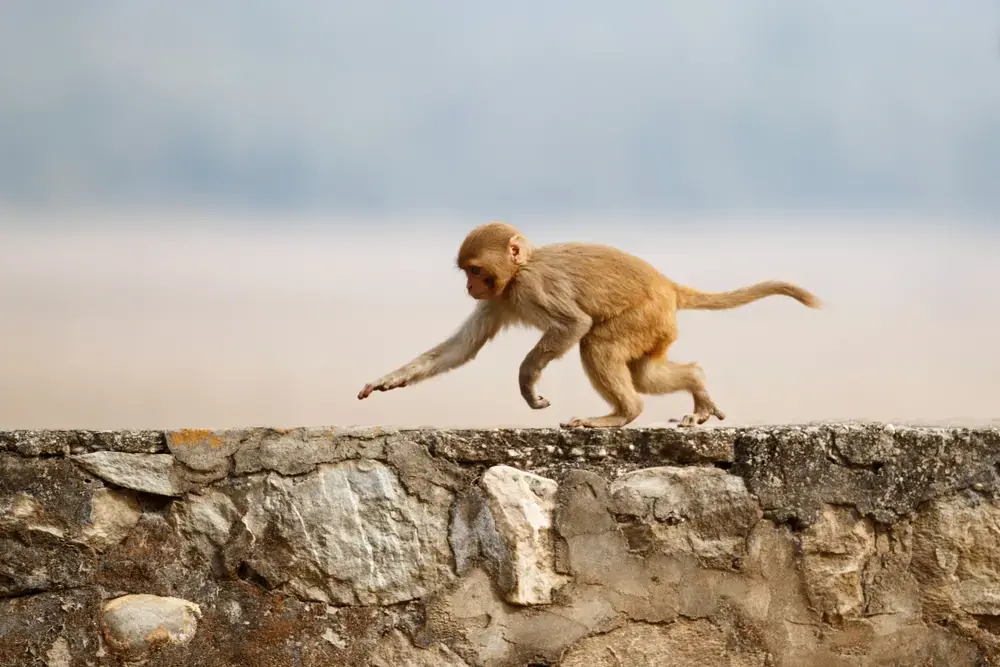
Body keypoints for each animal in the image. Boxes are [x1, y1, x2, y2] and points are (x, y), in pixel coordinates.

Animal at [357, 221, 821, 429]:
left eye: (475, 270)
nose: (471, 287)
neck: (518, 271)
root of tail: (668, 286)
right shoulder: (499, 300)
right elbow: (462, 347)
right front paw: (387, 381)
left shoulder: (530, 287)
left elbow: (573, 324)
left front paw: (528, 382)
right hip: (658, 329)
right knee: (646, 372)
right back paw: (696, 384)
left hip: (644, 316)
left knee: (597, 343)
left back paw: (622, 414)